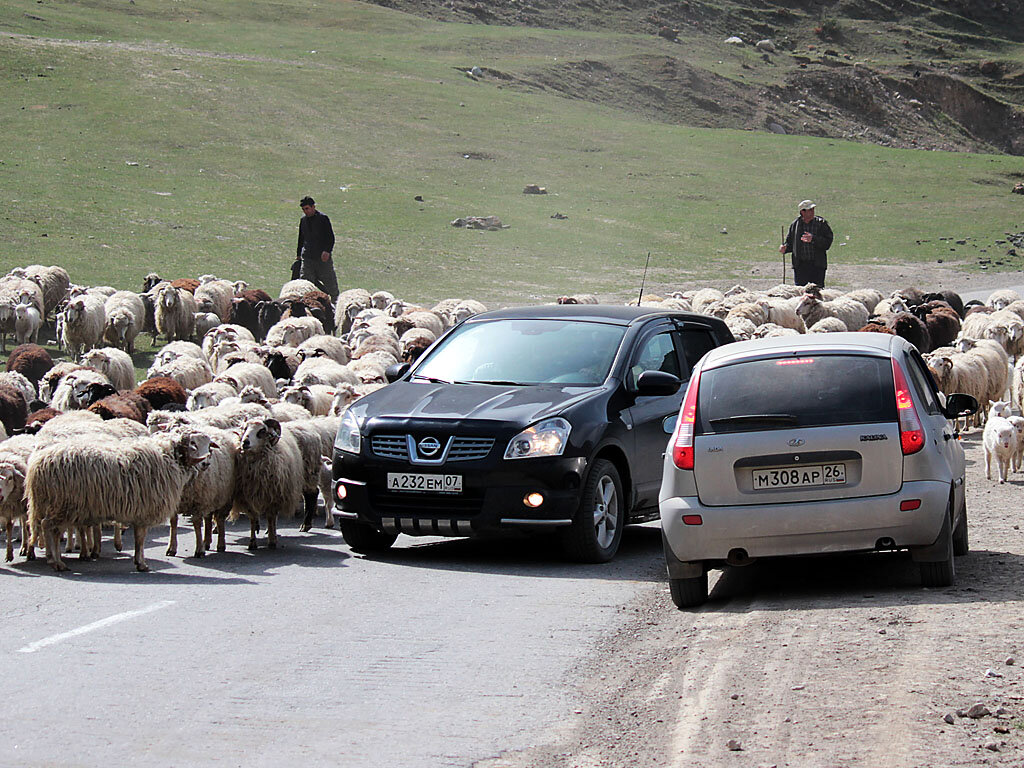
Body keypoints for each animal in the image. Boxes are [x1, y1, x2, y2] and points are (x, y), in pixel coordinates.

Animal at [234, 417, 303, 548]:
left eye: (262, 430)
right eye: (244, 428)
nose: (245, 442)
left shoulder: (273, 497)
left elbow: (271, 518)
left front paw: (272, 541)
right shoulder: (248, 497)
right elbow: (253, 518)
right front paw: (252, 542)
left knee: (273, 519)